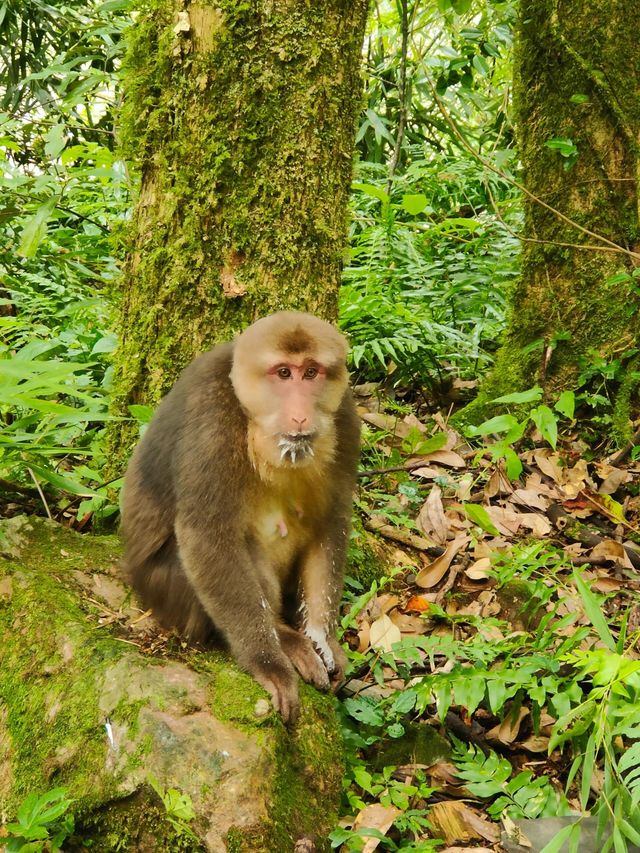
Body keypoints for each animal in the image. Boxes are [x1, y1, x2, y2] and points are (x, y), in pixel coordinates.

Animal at [120, 310, 360, 724]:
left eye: (311, 372)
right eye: (284, 373)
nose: (301, 415)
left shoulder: (344, 417)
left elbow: (331, 521)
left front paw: (323, 638)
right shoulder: (212, 422)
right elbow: (206, 535)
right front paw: (269, 663)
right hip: (163, 587)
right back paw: (284, 638)